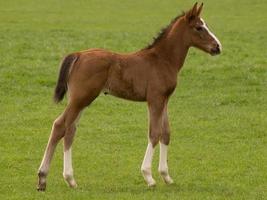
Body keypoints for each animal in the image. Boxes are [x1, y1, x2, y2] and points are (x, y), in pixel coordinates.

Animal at [37, 2, 222, 191]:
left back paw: (65, 179)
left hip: (82, 101)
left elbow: (166, 133)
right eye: (199, 27)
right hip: (80, 99)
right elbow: (154, 133)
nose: (217, 47)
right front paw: (148, 177)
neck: (162, 59)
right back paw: (48, 177)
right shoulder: (154, 99)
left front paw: (166, 176)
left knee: (69, 129)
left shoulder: (164, 100)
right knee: (60, 125)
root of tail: (79, 55)